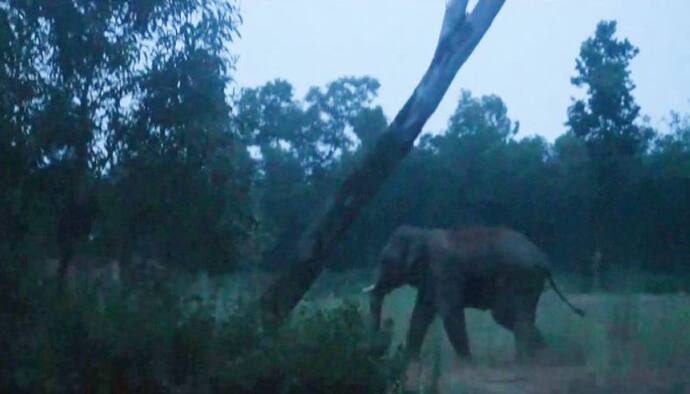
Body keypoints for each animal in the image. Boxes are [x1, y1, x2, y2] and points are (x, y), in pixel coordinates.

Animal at [362, 226, 584, 362]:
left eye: (385, 262)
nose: (375, 355)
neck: (423, 232)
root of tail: (544, 261)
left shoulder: (444, 271)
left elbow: (450, 311)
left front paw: (467, 362)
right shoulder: (431, 278)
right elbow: (421, 313)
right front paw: (410, 360)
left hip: (520, 278)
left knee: (504, 315)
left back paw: (527, 359)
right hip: (530, 283)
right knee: (519, 316)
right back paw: (539, 354)